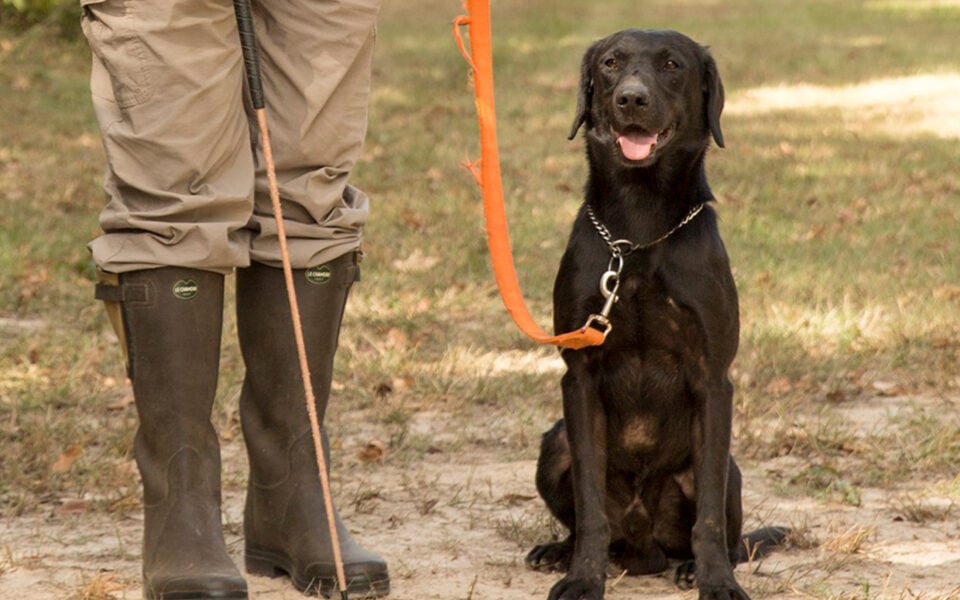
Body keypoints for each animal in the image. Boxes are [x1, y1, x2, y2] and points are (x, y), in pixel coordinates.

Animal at [528, 29, 784, 600]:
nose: (631, 98)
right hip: (554, 445)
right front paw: (583, 577)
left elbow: (707, 516)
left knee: (726, 534)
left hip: (730, 469)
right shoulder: (580, 376)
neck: (639, 230)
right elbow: (592, 508)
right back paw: (559, 551)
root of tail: (644, 549)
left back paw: (691, 565)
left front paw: (717, 581)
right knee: (587, 517)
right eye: (609, 63)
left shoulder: (713, 380)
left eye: (672, 65)